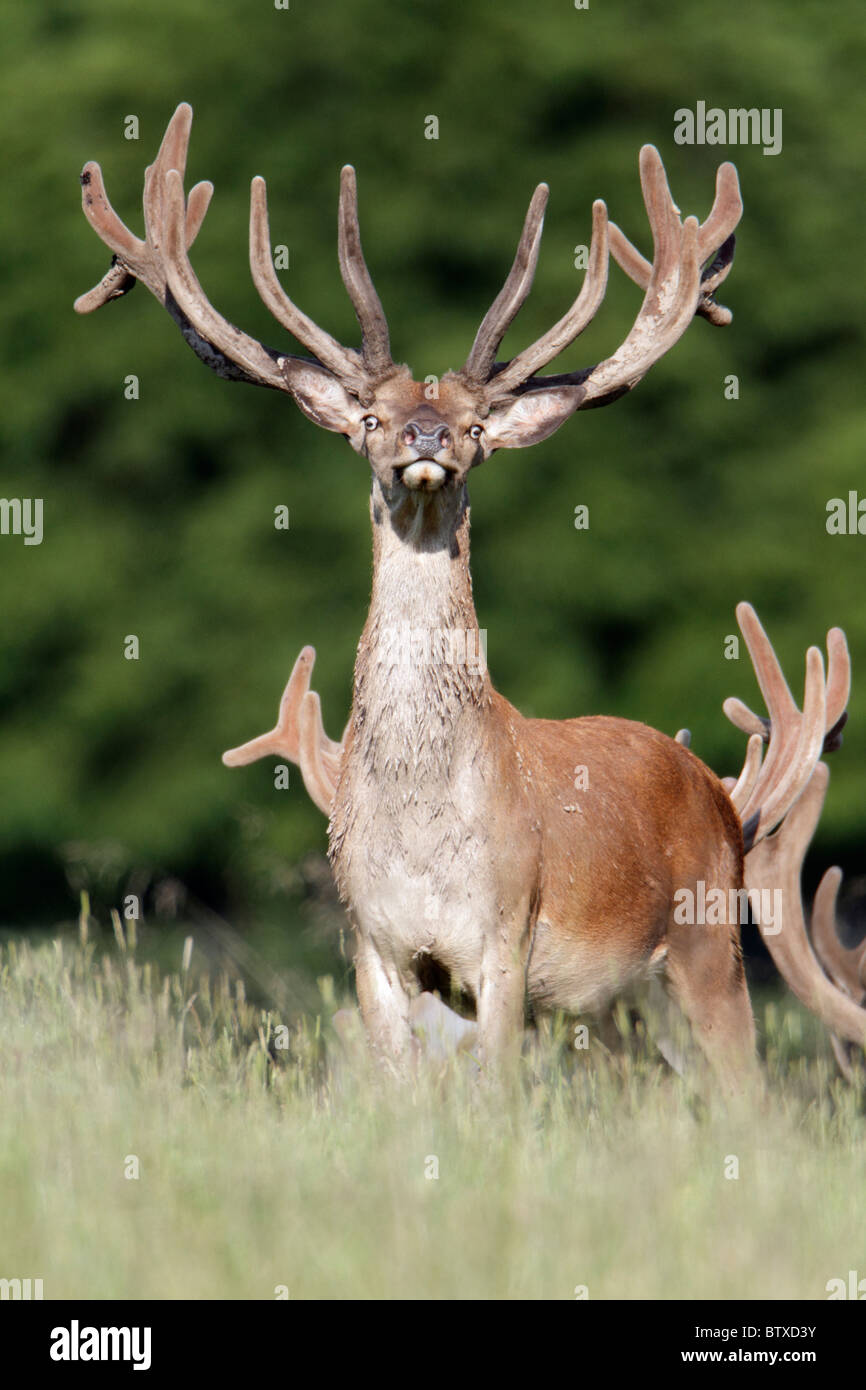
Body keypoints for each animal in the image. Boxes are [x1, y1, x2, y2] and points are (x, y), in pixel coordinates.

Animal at [76, 102, 866, 1089]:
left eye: (476, 425)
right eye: (370, 416)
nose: (424, 435)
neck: (422, 826)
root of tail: (722, 795)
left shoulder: (505, 935)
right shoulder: (376, 946)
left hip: (707, 947)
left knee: (747, 1094)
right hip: (629, 1008)